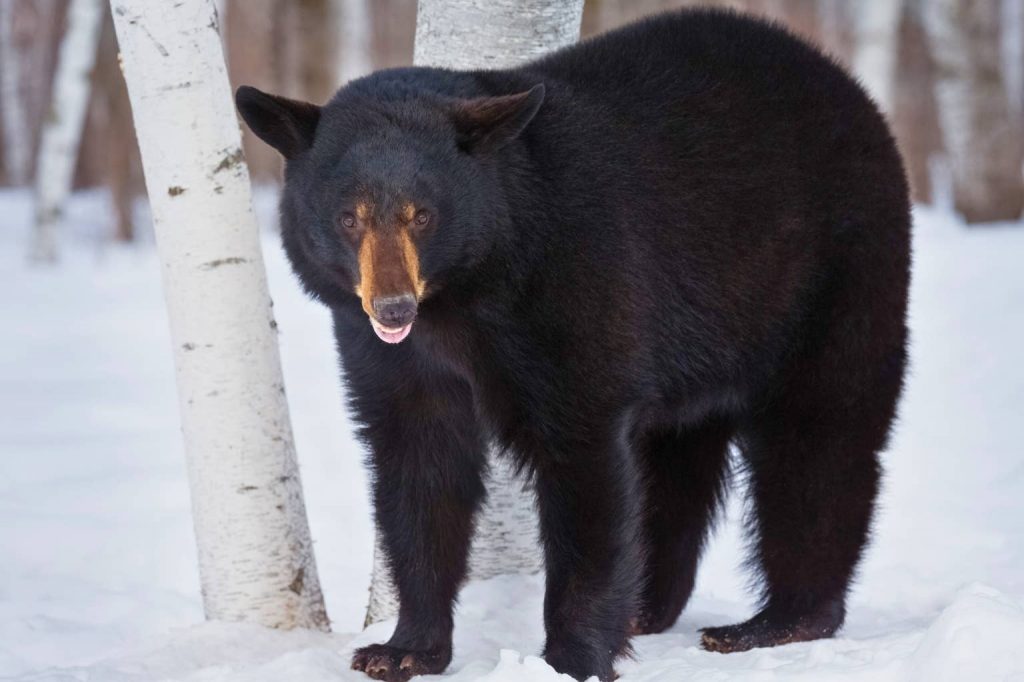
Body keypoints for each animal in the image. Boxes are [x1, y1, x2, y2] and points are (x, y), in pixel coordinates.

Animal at [236, 8, 910, 682]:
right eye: (348, 217)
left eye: (421, 214)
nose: (393, 306)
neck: (465, 300)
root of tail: (850, 88)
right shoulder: (391, 353)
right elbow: (419, 463)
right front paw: (403, 647)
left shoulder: (577, 286)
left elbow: (586, 465)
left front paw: (571, 657)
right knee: (675, 463)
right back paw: (649, 607)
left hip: (831, 277)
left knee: (819, 437)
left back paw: (773, 622)